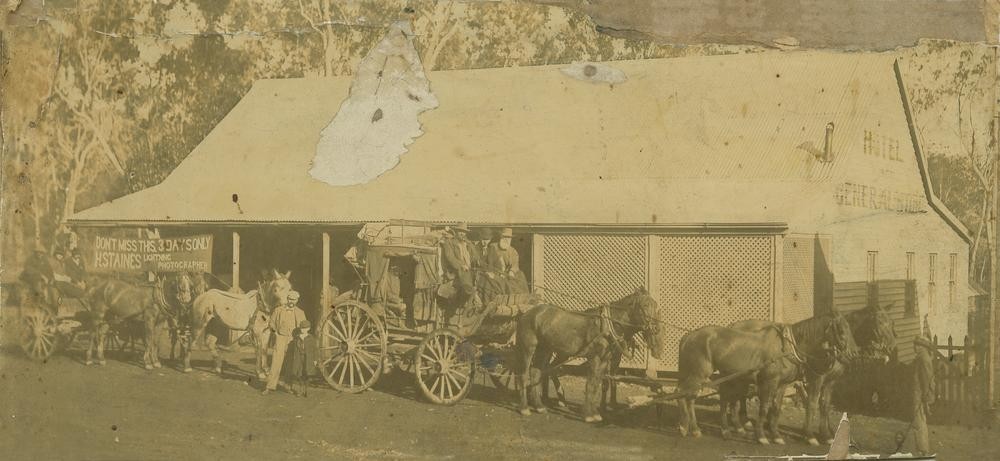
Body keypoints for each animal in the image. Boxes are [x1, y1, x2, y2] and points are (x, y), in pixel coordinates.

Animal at [516, 288, 664, 424]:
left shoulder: (605, 360)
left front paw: (595, 413)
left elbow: (597, 384)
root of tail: (527, 313)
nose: (656, 328)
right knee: (523, 375)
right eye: (645, 305)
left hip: (545, 350)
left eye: (655, 305)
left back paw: (539, 406)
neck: (608, 326)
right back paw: (524, 408)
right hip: (529, 349)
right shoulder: (595, 358)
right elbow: (591, 384)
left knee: (536, 373)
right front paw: (588, 415)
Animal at [680, 310, 860, 444]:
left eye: (851, 329)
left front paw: (776, 435)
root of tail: (689, 336)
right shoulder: (774, 382)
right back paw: (693, 429)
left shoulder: (783, 384)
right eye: (841, 331)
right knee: (689, 398)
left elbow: (777, 407)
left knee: (724, 398)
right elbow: (766, 406)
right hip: (698, 374)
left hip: (729, 376)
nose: (854, 353)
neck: (787, 348)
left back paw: (724, 429)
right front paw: (762, 436)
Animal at [724, 304, 896, 444]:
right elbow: (812, 404)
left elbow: (825, 405)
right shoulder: (817, 379)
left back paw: (743, 421)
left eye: (891, 323)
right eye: (880, 323)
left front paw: (827, 434)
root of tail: (733, 325)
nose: (892, 348)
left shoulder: (830, 381)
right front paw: (810, 434)